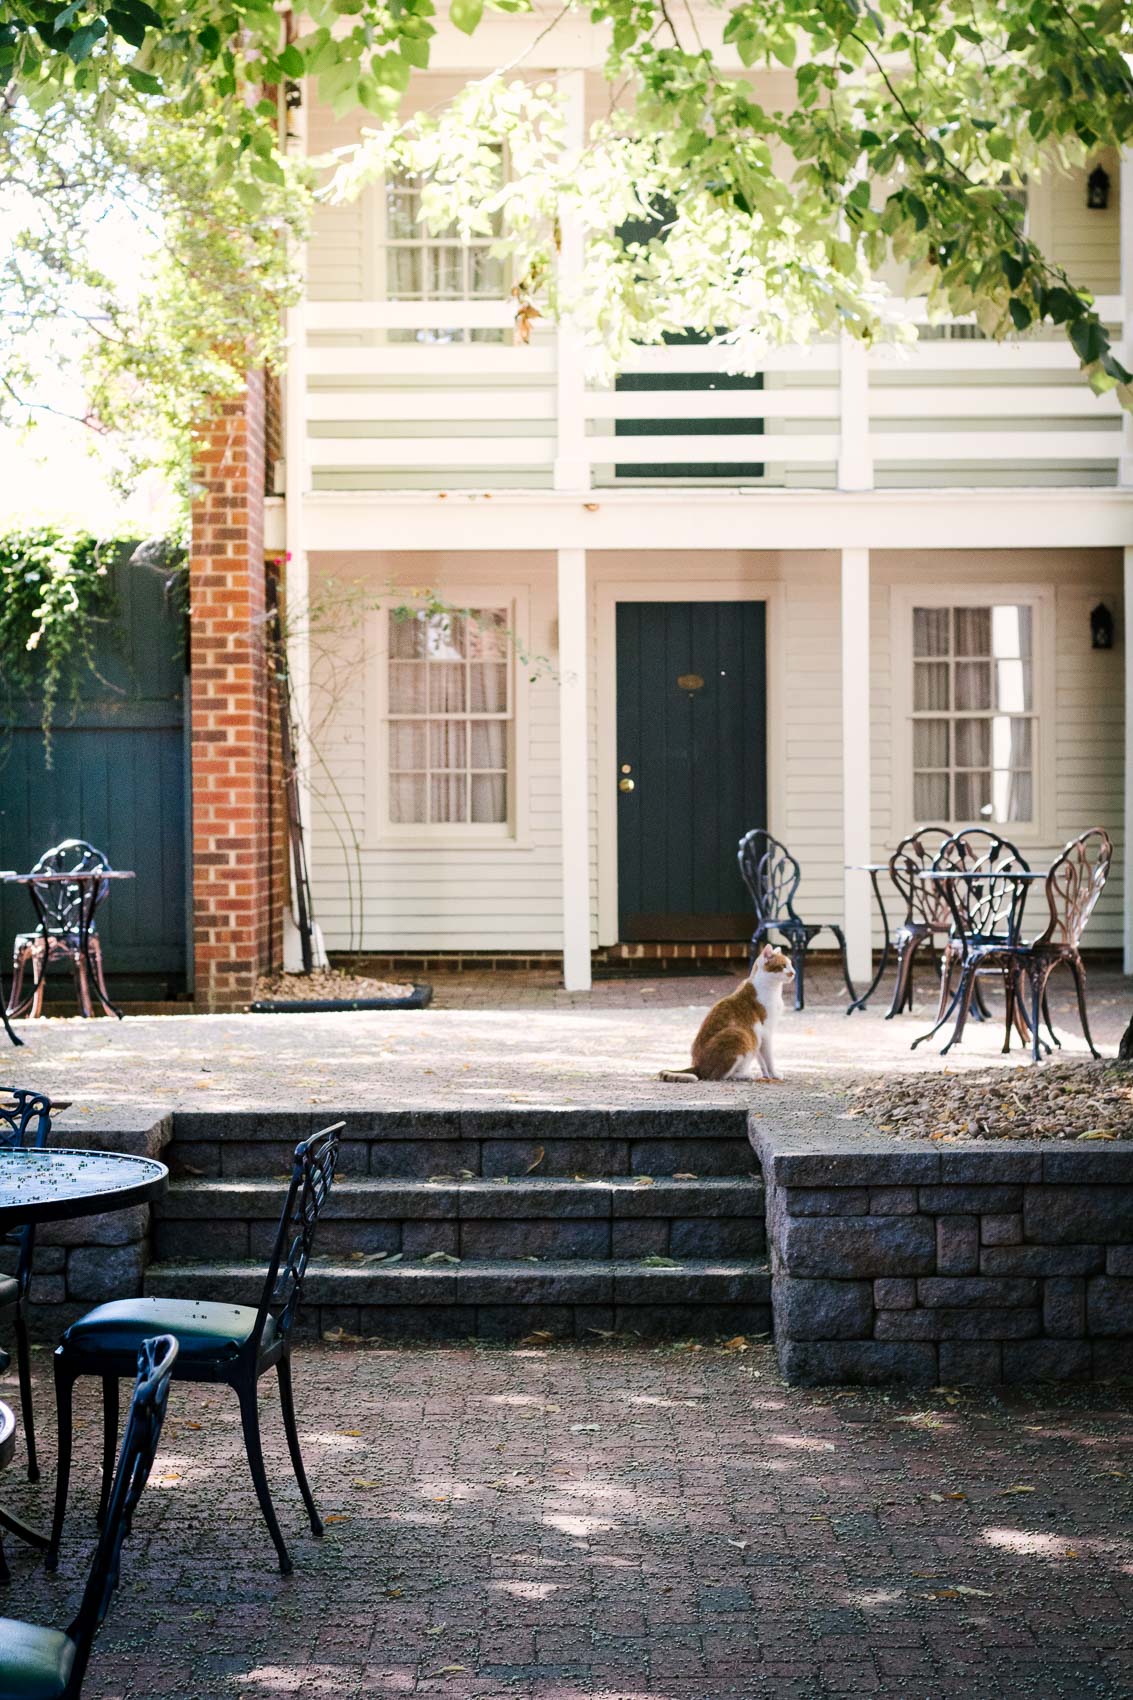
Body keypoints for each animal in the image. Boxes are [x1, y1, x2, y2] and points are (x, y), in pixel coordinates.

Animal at [656, 952, 789, 1081]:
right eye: (783, 966)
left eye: (791, 965)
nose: (793, 972)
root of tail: (697, 1065)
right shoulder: (766, 1032)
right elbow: (768, 1058)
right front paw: (774, 1074)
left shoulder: (759, 1037)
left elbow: (762, 1059)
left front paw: (767, 1075)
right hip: (739, 1034)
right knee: (719, 1076)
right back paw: (745, 1076)